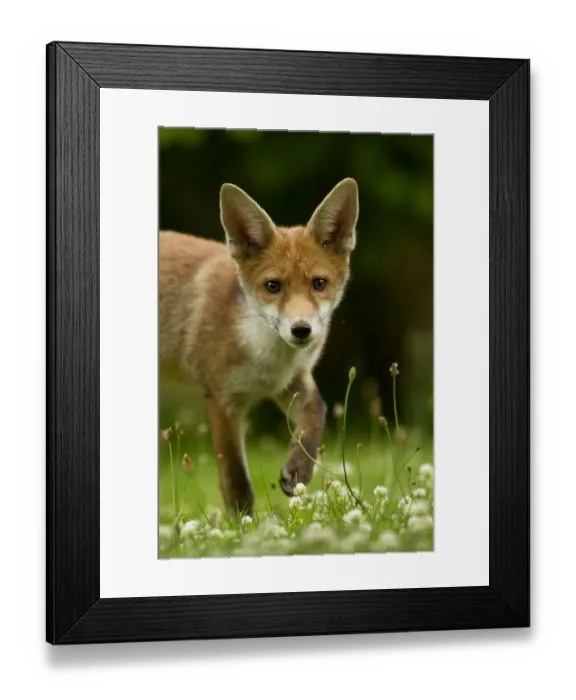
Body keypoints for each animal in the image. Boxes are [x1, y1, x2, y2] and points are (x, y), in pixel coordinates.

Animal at [159, 177, 359, 515]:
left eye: (319, 283)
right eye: (273, 286)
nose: (301, 330)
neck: (265, 357)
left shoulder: (288, 381)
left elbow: (317, 411)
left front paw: (299, 468)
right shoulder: (222, 400)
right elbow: (236, 480)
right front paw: (243, 525)